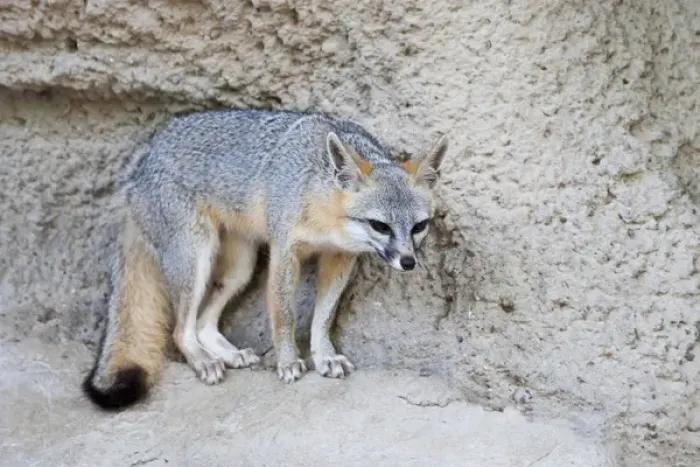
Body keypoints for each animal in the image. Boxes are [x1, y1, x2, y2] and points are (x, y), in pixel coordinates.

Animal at [81, 108, 449, 411]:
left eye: (419, 226)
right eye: (380, 225)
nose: (408, 262)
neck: (324, 211)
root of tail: (140, 163)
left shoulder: (339, 257)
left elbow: (323, 317)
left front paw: (324, 356)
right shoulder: (285, 251)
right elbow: (284, 316)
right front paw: (288, 362)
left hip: (240, 268)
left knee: (202, 323)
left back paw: (230, 354)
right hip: (196, 257)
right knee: (179, 329)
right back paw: (202, 361)